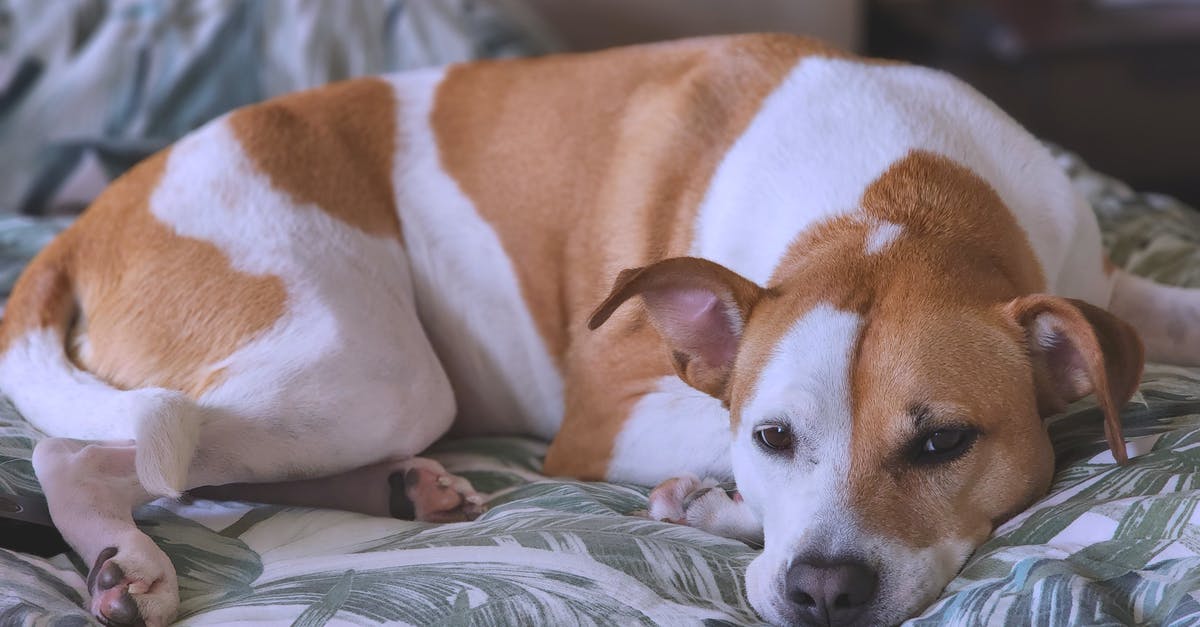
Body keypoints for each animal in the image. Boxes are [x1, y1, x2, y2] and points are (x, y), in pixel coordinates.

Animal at [2, 35, 1200, 624]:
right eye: (773, 437)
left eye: (945, 442)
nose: (822, 592)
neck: (897, 208)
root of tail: (92, 219)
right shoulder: (609, 417)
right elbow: (704, 451)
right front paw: (717, 505)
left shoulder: (1099, 283)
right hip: (364, 367)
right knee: (98, 450)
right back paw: (118, 559)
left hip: (350, 394)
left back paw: (401, 489)